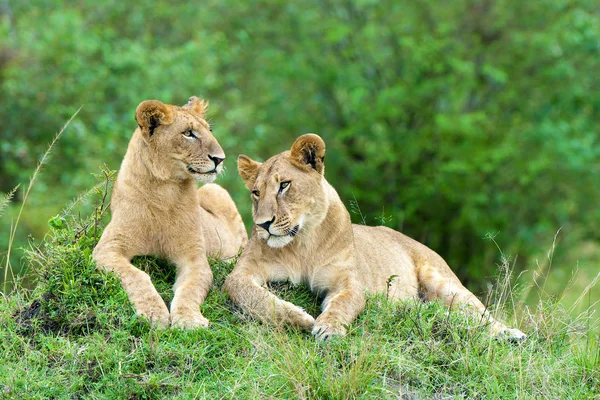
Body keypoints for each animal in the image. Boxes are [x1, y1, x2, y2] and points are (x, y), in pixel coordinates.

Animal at [93, 96, 246, 328]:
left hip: (214, 189)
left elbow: (190, 289)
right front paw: (154, 314)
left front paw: (189, 319)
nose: (220, 159)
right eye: (188, 133)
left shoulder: (194, 257)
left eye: (209, 130)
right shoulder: (107, 249)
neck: (164, 190)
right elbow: (137, 276)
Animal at [224, 134, 524, 340]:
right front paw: (298, 318)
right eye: (256, 193)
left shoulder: (348, 281)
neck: (302, 243)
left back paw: (510, 335)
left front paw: (328, 328)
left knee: (480, 312)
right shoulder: (242, 272)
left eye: (284, 185)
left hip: (444, 282)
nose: (263, 224)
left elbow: (344, 302)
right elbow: (249, 295)